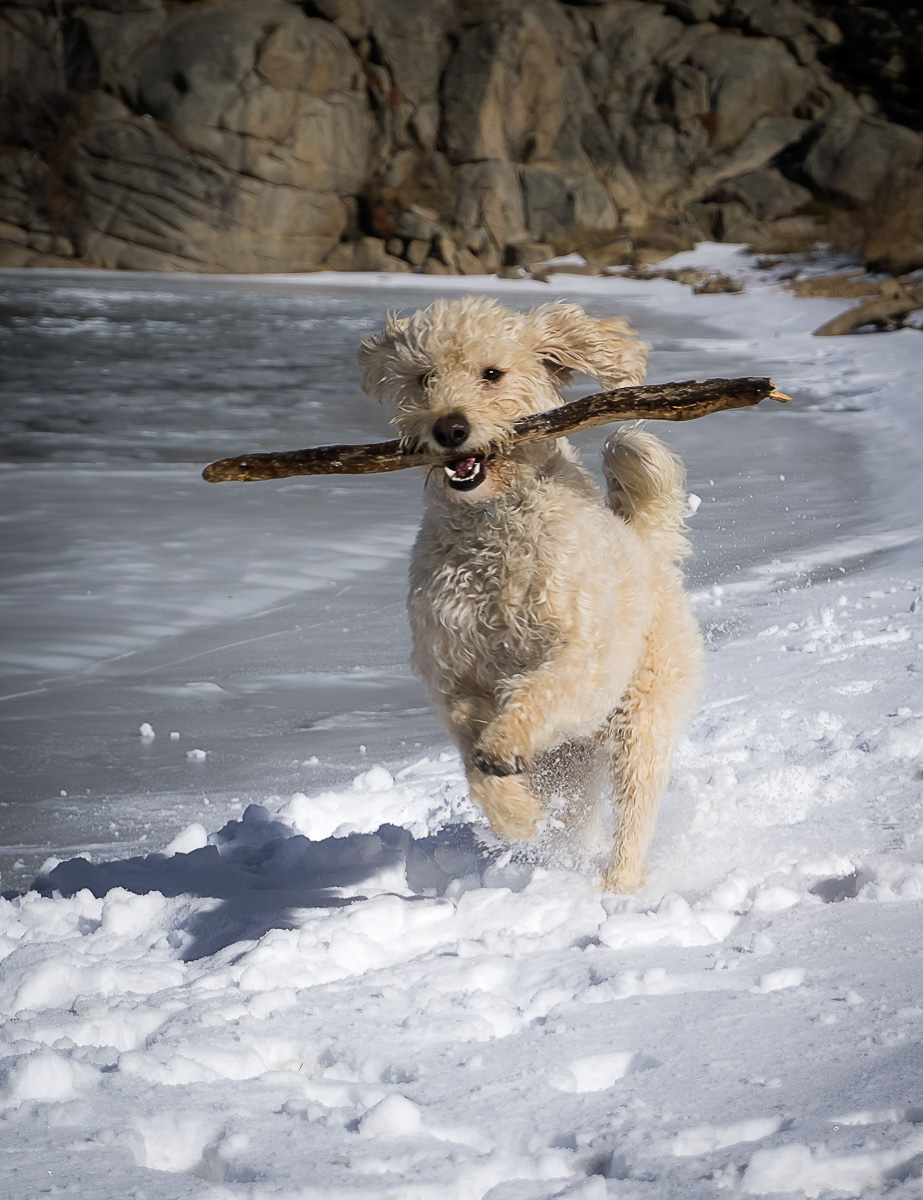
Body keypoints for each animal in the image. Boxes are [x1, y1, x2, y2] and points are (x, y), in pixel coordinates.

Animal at [357, 295, 700, 892]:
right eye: (424, 378)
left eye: (492, 373)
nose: (449, 428)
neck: (493, 530)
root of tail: (646, 546)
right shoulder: (451, 672)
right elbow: (470, 753)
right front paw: (513, 814)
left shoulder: (586, 655)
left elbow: (539, 692)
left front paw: (504, 745)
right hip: (571, 763)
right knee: (579, 817)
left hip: (643, 719)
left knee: (635, 811)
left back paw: (618, 888)